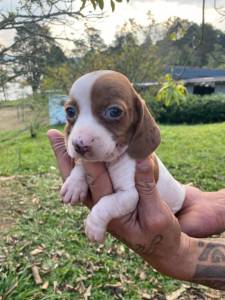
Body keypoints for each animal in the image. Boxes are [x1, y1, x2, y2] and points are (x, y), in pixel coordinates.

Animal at [59, 71, 185, 244]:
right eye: (70, 112)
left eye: (114, 112)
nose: (79, 145)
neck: (109, 161)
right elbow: (81, 167)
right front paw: (74, 185)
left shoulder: (129, 195)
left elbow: (106, 203)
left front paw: (93, 227)